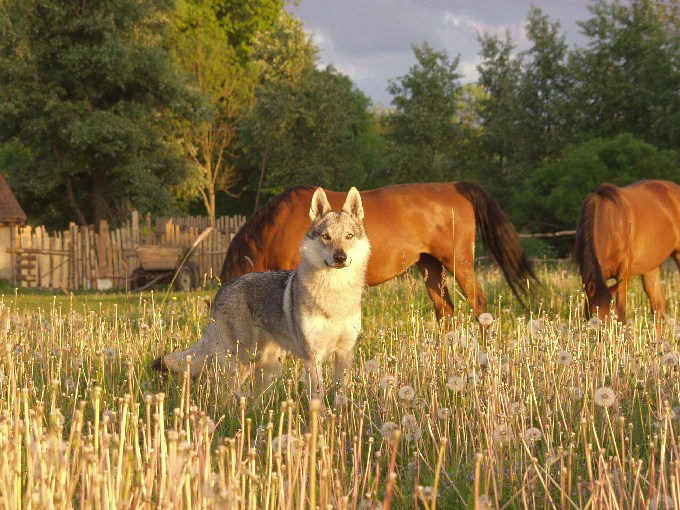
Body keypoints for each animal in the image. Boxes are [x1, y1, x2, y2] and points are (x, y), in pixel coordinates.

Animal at [219, 181, 536, 320]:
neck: (279, 226)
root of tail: (454, 187)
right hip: (430, 265)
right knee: (444, 310)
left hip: (457, 262)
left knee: (478, 304)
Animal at [572, 179, 680, 318]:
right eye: (591, 316)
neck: (611, 225)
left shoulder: (623, 273)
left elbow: (621, 312)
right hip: (651, 267)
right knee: (658, 306)